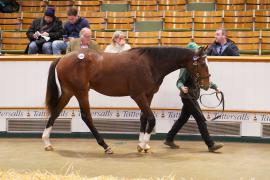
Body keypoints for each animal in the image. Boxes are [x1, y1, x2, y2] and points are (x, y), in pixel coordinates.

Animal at [42, 46, 211, 153]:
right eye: (202, 63)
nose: (207, 84)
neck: (150, 63)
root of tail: (63, 58)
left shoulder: (148, 95)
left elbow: (144, 118)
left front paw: (142, 145)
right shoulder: (138, 95)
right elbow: (151, 119)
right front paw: (143, 144)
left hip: (69, 92)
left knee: (55, 112)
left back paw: (47, 142)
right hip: (81, 92)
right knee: (86, 117)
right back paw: (105, 146)